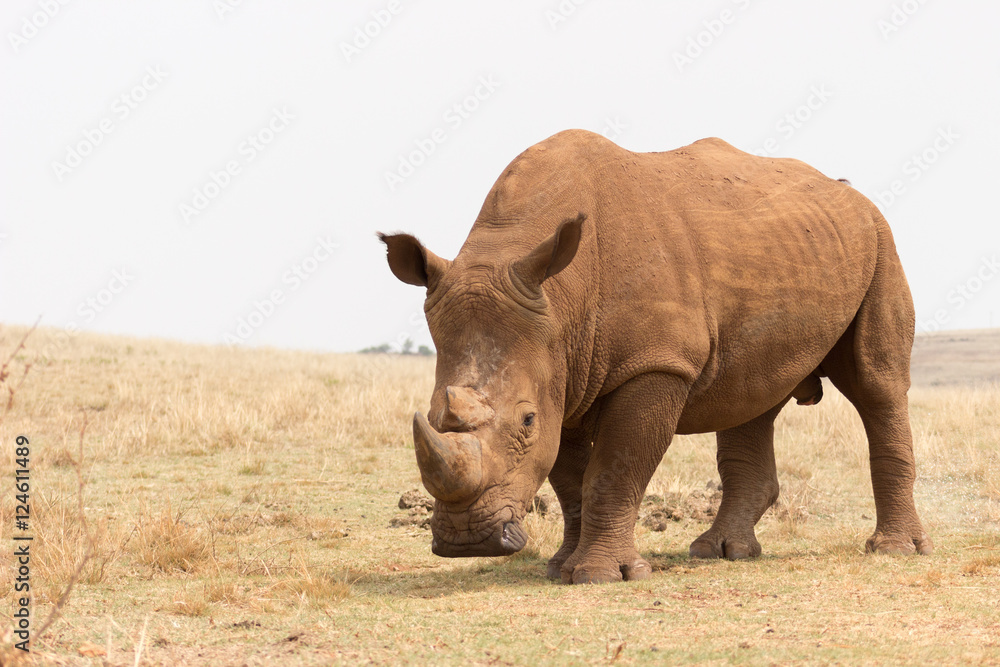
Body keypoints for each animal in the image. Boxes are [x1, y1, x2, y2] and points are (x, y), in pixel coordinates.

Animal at [379, 130, 932, 584]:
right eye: (431, 416)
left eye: (527, 421)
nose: (465, 541)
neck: (560, 299)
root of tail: (851, 194)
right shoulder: (566, 372)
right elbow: (570, 478)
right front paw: (561, 567)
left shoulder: (654, 362)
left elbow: (614, 469)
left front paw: (603, 576)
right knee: (750, 395)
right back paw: (722, 553)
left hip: (881, 240)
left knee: (877, 385)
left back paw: (895, 551)